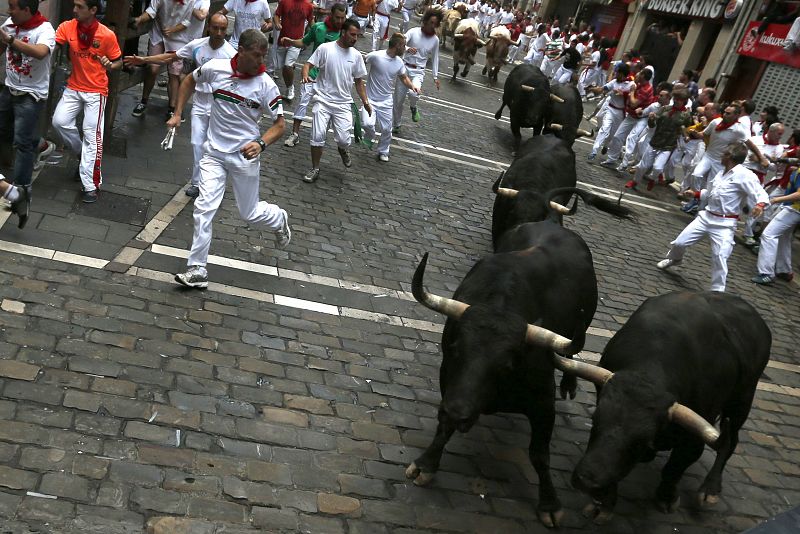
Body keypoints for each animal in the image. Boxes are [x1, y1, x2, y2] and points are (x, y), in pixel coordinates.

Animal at [406, 221, 600, 528]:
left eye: (506, 364)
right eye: (456, 348)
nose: (457, 413)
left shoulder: (544, 402)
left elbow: (540, 455)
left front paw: (549, 504)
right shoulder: (448, 379)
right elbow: (443, 428)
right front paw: (426, 464)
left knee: (568, 353)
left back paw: (570, 382)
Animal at [552, 292, 768, 524]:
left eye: (641, 441)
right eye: (595, 421)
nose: (587, 482)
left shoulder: (695, 436)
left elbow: (675, 467)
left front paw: (666, 497)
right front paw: (605, 504)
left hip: (742, 401)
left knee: (731, 440)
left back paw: (710, 489)